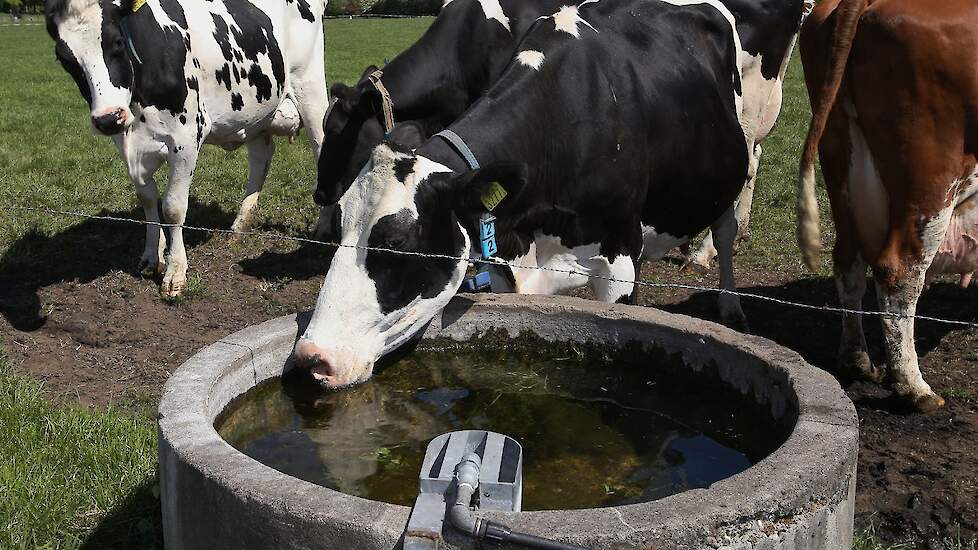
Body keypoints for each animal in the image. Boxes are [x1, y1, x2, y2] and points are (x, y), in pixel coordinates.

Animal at [44, 0, 328, 298]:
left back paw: (323, 227)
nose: (109, 118)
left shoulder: (187, 136)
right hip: (258, 110)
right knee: (261, 157)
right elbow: (147, 199)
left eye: (118, 42)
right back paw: (239, 226)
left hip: (309, 87)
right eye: (63, 57)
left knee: (321, 146)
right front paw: (152, 256)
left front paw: (175, 272)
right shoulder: (125, 143)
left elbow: (173, 207)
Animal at [792, 0, 976, 414]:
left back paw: (856, 359)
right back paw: (914, 387)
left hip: (841, 162)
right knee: (900, 270)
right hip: (930, 176)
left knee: (848, 260)